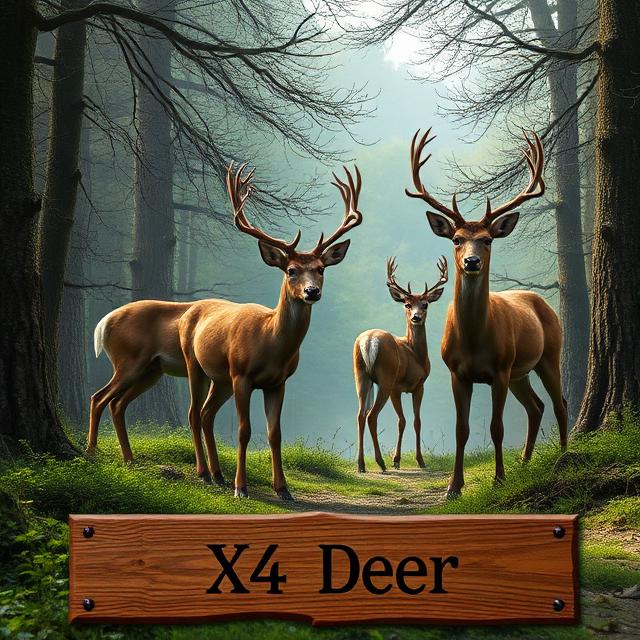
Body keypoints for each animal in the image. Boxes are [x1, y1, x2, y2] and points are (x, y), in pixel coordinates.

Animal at [88, 163, 364, 502]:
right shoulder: (241, 374)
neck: (270, 342)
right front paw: (241, 487)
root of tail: (103, 323)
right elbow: (244, 431)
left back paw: (192, 470)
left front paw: (283, 489)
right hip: (172, 363)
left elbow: (274, 433)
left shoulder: (278, 382)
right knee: (157, 407)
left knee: (144, 406)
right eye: (291, 271)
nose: (312, 292)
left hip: (166, 372)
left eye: (321, 269)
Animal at [353, 256, 448, 473]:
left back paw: (361, 464)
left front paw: (397, 460)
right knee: (371, 415)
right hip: (386, 377)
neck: (415, 354)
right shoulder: (415, 385)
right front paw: (416, 460)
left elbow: (402, 421)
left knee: (360, 414)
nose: (416, 317)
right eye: (407, 304)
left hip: (361, 374)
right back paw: (380, 462)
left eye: (425, 304)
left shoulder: (400, 388)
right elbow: (414, 421)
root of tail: (368, 341)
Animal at [406, 128, 567, 498]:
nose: (471, 261)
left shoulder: (500, 369)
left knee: (560, 404)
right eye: (456, 238)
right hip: (522, 372)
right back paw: (525, 462)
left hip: (548, 354)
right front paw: (454, 486)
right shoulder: (457, 372)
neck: (474, 340)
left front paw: (498, 479)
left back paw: (564, 456)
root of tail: (543, 303)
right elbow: (461, 429)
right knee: (536, 407)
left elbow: (496, 427)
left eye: (488, 239)